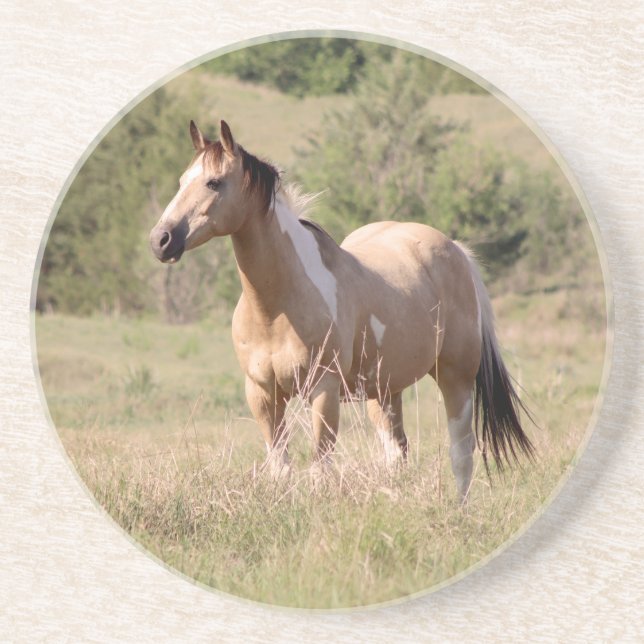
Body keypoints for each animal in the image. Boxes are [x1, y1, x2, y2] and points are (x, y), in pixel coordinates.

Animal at [149, 119, 533, 499]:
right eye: (182, 181)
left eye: (214, 182)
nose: (160, 240)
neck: (275, 310)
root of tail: (456, 250)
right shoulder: (261, 393)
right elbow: (280, 469)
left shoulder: (324, 391)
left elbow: (320, 470)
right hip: (384, 391)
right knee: (396, 452)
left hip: (455, 378)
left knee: (461, 455)